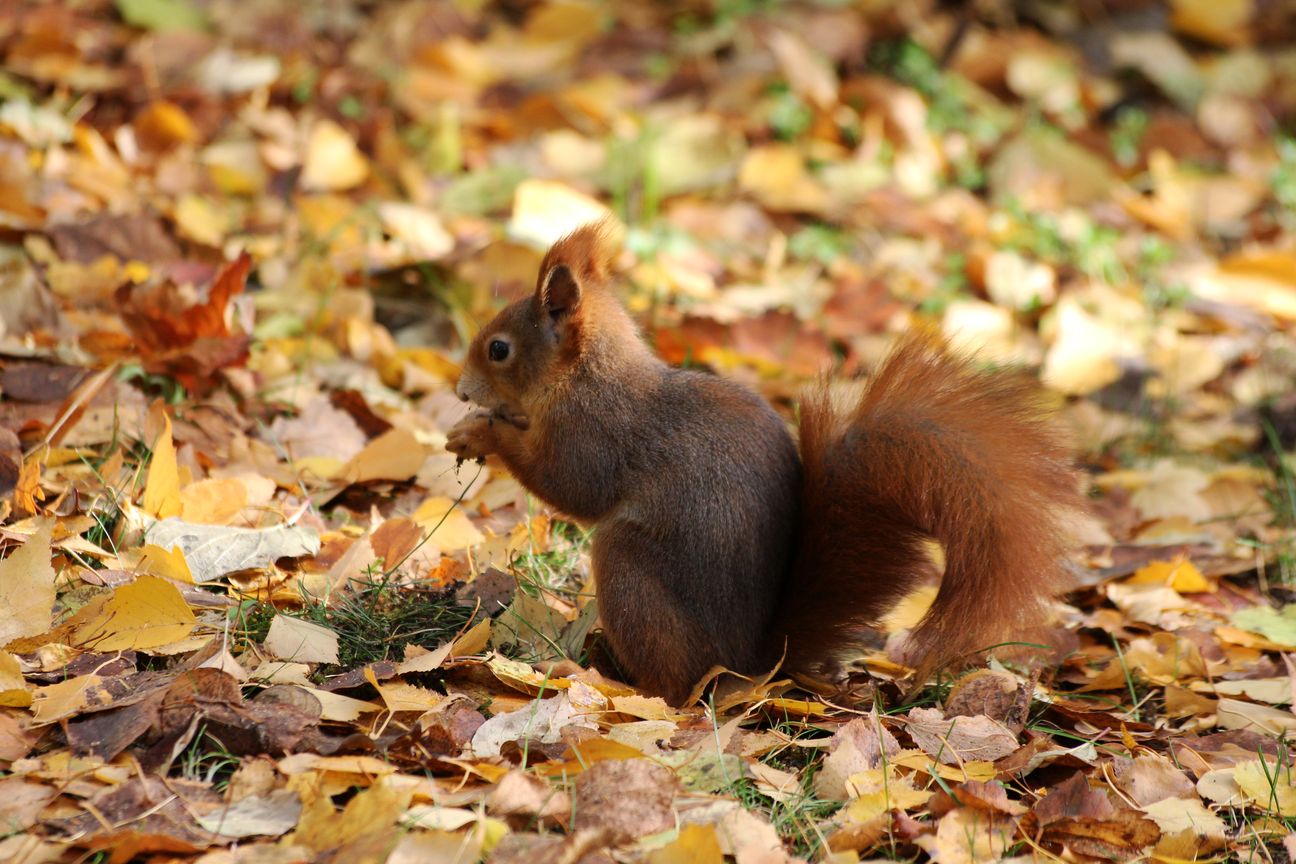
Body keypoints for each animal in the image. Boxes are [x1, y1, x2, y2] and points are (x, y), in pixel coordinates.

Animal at [451, 222, 1078, 709]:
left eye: (499, 349)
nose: (459, 392)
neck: (586, 377)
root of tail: (750, 662)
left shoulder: (594, 435)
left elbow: (569, 487)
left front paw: (483, 431)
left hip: (630, 568)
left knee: (672, 688)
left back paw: (606, 680)